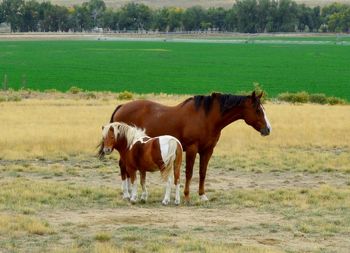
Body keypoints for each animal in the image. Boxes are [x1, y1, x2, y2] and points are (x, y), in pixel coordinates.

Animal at [98, 92, 270, 203]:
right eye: (258, 110)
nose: (268, 129)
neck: (206, 117)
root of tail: (122, 106)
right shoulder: (192, 149)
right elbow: (189, 173)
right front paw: (186, 196)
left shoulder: (207, 151)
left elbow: (202, 173)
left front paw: (202, 195)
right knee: (123, 167)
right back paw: (127, 194)